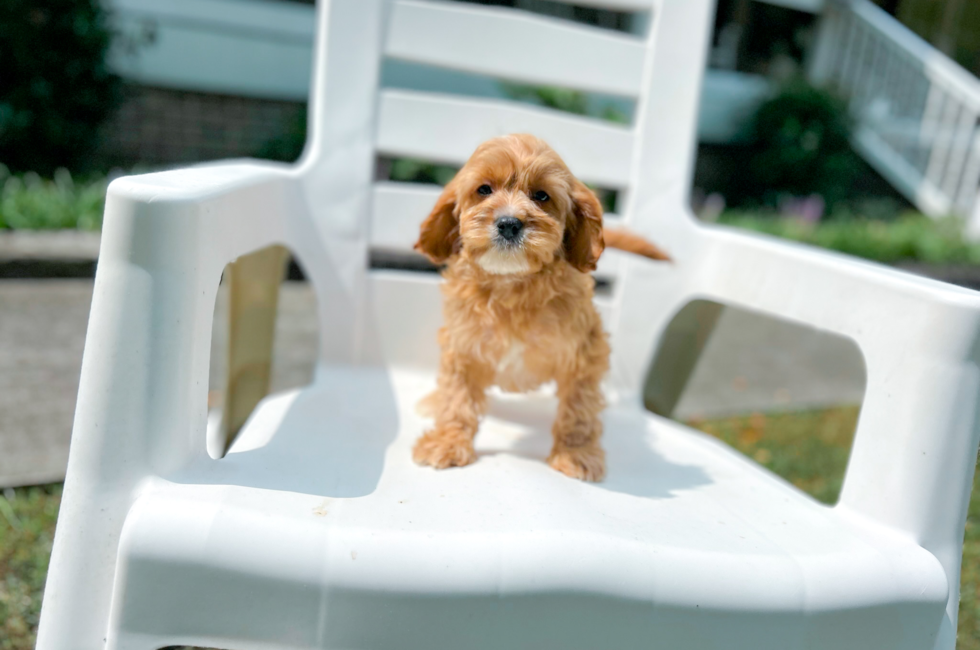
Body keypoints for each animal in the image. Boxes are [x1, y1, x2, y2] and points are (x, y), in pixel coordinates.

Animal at [410, 132, 668, 478]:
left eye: (541, 196)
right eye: (484, 190)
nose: (509, 223)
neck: (513, 284)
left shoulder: (586, 351)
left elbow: (579, 407)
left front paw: (576, 453)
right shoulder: (463, 345)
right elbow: (457, 397)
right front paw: (448, 441)